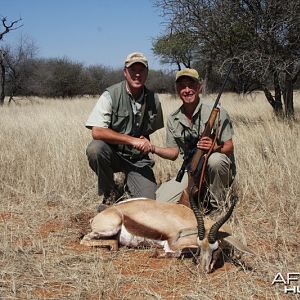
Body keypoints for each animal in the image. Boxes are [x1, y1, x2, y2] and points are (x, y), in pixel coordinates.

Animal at [81, 196, 253, 274]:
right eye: (200, 247)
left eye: (215, 249)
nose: (202, 270)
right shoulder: (172, 244)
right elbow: (176, 253)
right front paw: (155, 254)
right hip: (110, 228)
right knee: (84, 240)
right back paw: (114, 246)